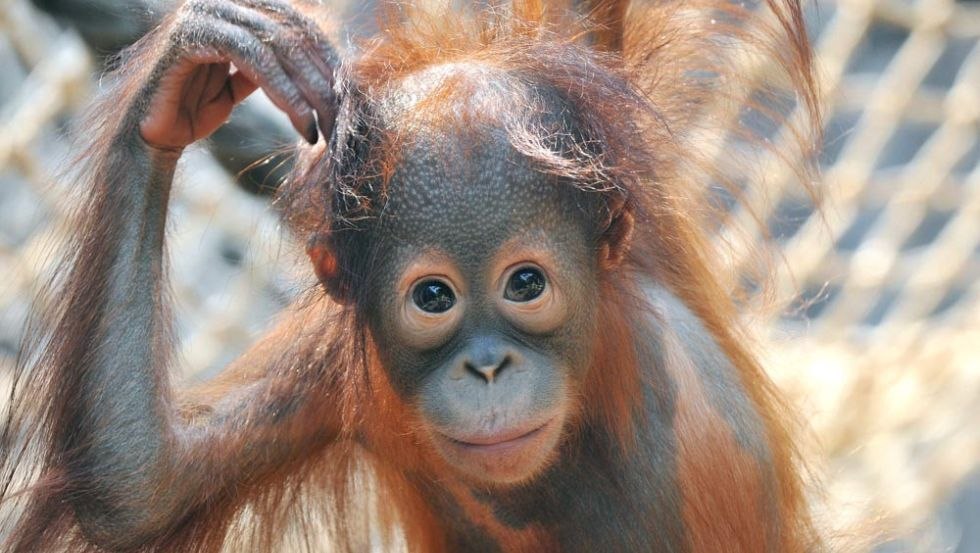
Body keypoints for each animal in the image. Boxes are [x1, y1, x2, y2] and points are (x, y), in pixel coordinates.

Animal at [0, 0, 825, 551]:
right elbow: (141, 483)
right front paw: (185, 74)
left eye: (526, 284)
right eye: (434, 297)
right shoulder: (337, 361)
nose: (487, 365)